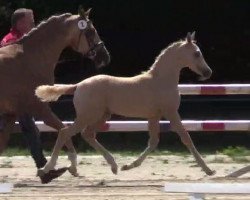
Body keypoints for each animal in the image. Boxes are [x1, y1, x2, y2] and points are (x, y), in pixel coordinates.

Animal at [0, 7, 110, 183]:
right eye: (91, 31)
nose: (105, 57)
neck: (28, 59)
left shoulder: (11, 114)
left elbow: (2, 143)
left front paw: (49, 171)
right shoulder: (40, 109)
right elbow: (63, 129)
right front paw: (70, 166)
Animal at [35, 32, 215, 182]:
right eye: (196, 53)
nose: (208, 73)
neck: (161, 80)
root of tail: (78, 85)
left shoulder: (154, 116)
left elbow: (153, 142)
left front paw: (129, 166)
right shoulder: (171, 112)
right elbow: (186, 137)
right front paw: (208, 170)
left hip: (102, 116)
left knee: (88, 134)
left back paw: (111, 166)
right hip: (87, 116)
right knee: (65, 132)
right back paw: (48, 169)